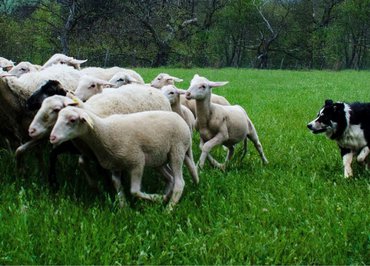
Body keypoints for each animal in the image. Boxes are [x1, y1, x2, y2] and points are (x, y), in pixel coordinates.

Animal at [49, 106, 192, 210]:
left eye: (72, 120)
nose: (52, 138)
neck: (105, 133)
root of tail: (180, 119)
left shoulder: (137, 161)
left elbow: (134, 191)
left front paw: (157, 198)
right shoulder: (115, 165)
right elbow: (117, 186)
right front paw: (124, 208)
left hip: (177, 150)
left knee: (179, 182)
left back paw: (169, 208)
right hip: (159, 159)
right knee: (171, 178)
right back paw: (167, 196)